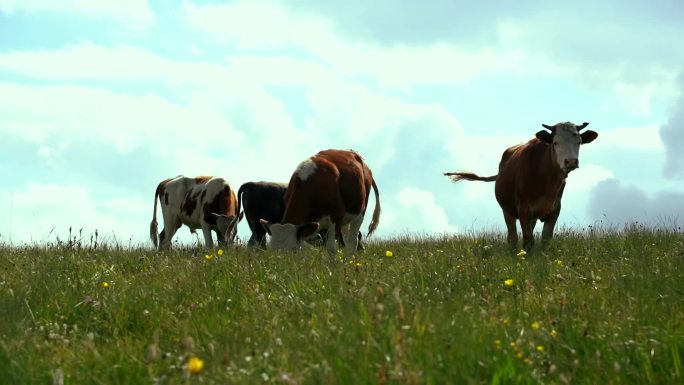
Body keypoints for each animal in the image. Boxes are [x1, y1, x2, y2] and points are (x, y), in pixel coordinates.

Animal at [444, 121, 600, 250]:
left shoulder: (554, 210)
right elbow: (528, 241)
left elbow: (545, 241)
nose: (571, 161)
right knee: (512, 237)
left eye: (579, 142)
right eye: (555, 142)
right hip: (507, 211)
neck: (547, 181)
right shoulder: (524, 210)